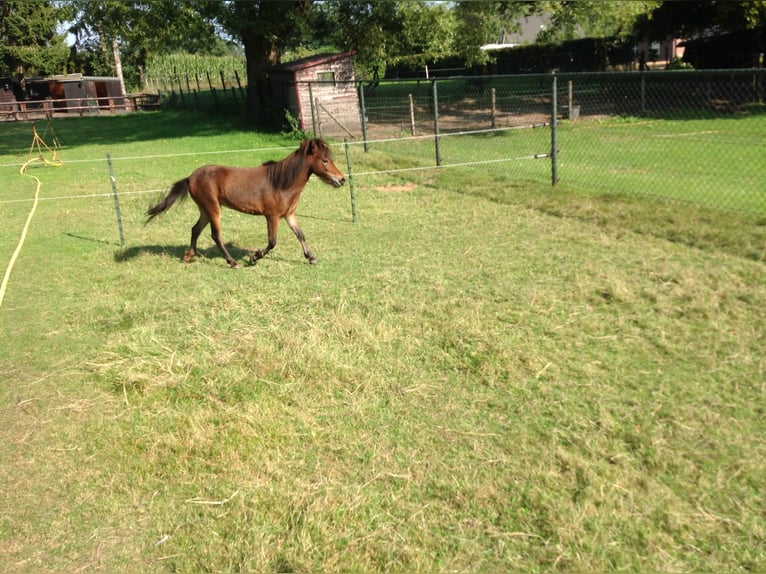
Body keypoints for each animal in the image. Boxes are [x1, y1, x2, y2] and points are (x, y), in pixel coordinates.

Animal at [145, 138, 345, 269]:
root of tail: (190, 178)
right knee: (215, 235)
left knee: (195, 229)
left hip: (205, 209)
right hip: (212, 208)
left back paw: (188, 256)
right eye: (325, 160)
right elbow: (272, 242)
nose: (342, 180)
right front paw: (253, 258)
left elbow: (300, 235)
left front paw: (311, 258)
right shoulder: (272, 216)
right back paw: (232, 262)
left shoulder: (289, 215)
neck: (280, 182)